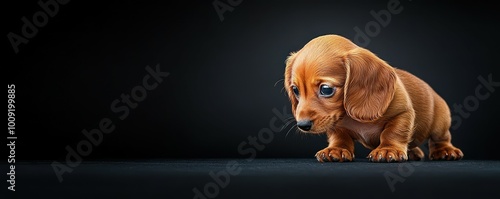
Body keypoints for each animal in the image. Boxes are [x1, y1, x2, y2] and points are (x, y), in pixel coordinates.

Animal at [284, 34, 462, 162]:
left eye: (326, 89)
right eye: (295, 90)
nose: (303, 125)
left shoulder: (403, 113)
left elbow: (393, 132)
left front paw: (388, 149)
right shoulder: (335, 124)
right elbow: (339, 136)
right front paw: (337, 149)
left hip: (440, 123)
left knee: (441, 138)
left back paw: (445, 150)